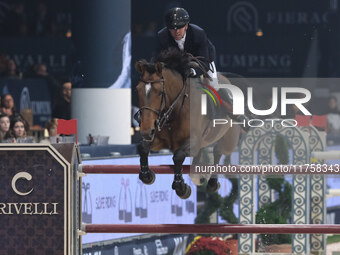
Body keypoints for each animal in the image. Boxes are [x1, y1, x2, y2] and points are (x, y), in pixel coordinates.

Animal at [134, 49, 240, 199]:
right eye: (137, 90)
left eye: (160, 92)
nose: (146, 131)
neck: (177, 109)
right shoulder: (159, 140)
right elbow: (142, 147)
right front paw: (146, 175)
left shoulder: (192, 142)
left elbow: (178, 156)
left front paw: (181, 187)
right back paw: (200, 178)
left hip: (228, 141)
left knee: (218, 151)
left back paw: (212, 183)